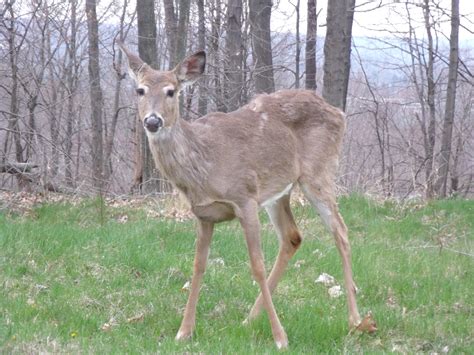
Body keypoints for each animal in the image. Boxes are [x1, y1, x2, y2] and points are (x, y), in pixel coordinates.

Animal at [116, 41, 376, 350]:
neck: (203, 166)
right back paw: (250, 318)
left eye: (171, 91)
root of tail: (339, 112)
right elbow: (198, 266)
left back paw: (355, 320)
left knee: (341, 232)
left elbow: (257, 265)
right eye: (140, 90)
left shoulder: (245, 199)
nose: (153, 121)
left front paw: (280, 338)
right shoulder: (203, 214)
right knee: (292, 236)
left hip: (319, 172)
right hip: (278, 191)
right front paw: (184, 331)